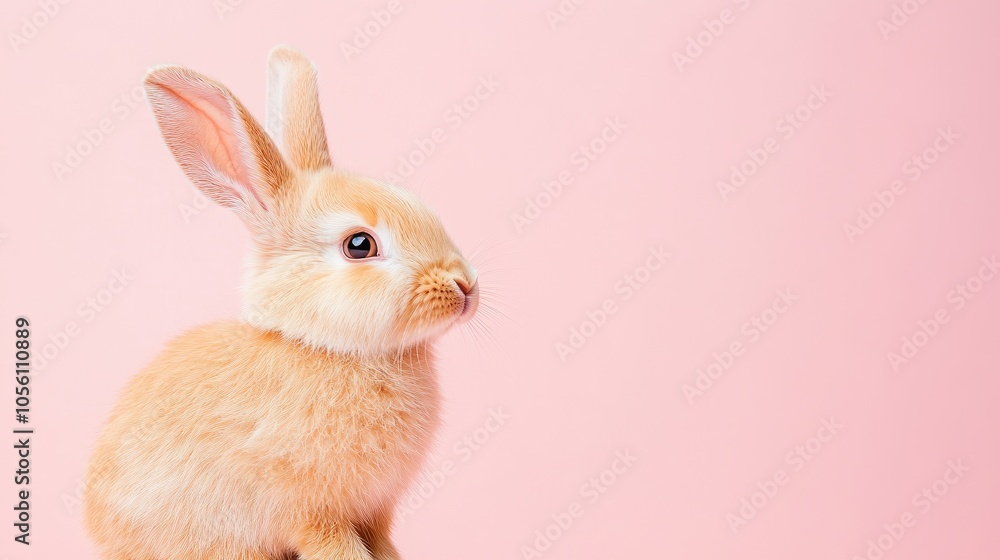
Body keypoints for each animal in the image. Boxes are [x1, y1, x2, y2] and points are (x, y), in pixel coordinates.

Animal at [82, 46, 479, 560]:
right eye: (359, 246)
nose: (465, 286)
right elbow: (339, 548)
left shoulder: (373, 513)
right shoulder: (314, 513)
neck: (323, 347)